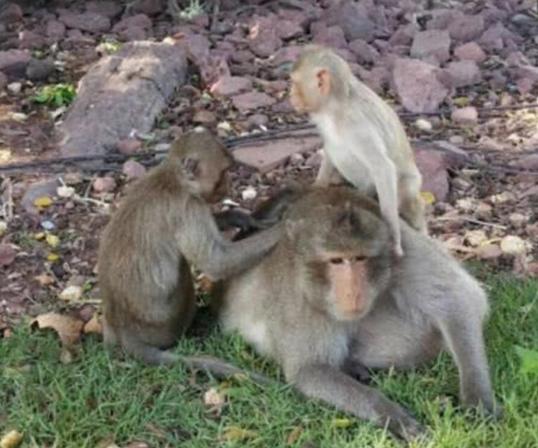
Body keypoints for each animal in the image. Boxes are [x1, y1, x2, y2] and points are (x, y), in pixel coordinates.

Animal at [97, 127, 281, 383]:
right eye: (224, 172)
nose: (229, 185)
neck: (174, 180)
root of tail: (125, 330)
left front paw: (241, 217)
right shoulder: (189, 208)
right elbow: (215, 262)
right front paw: (286, 229)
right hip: (165, 323)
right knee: (183, 267)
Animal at [216, 187, 499, 441]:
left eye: (360, 258)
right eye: (336, 261)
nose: (352, 291)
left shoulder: (402, 249)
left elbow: (457, 299)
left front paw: (478, 399)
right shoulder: (299, 294)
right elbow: (309, 369)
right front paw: (390, 414)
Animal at [289, 45, 427, 257]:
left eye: (294, 83)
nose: (290, 94)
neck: (335, 106)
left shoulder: (357, 125)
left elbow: (382, 168)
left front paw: (394, 239)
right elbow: (329, 148)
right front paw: (318, 185)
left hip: (408, 185)